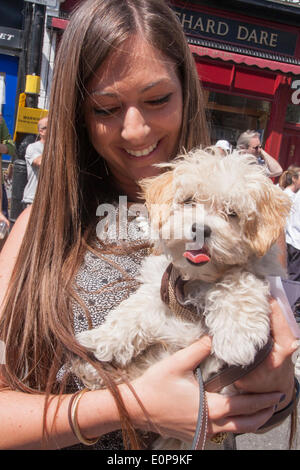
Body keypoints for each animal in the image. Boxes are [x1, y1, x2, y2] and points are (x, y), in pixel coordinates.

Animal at [71, 150, 292, 448]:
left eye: (232, 213)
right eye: (189, 201)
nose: (201, 229)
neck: (195, 280)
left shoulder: (256, 271)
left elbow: (238, 282)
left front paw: (236, 339)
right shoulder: (159, 285)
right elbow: (133, 311)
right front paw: (103, 338)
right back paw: (93, 371)